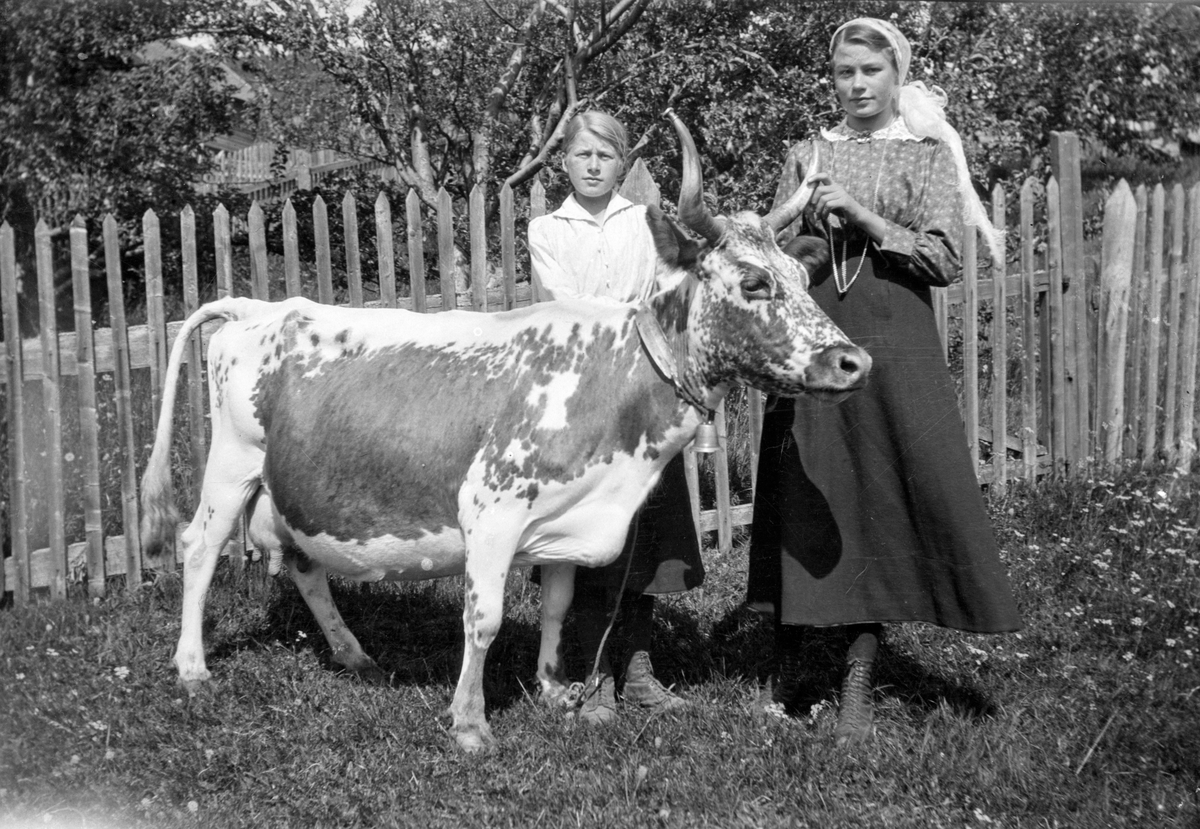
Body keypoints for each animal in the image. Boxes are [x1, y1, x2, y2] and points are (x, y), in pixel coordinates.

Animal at [140, 113, 873, 753]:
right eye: (753, 282)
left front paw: (554, 690)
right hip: (231, 465)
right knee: (199, 548)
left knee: (304, 563)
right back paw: (193, 668)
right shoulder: (491, 507)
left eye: (802, 276)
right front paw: (470, 722)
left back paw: (354, 655)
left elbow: (557, 605)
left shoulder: (564, 516)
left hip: (300, 482)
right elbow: (484, 617)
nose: (853, 361)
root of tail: (262, 306)